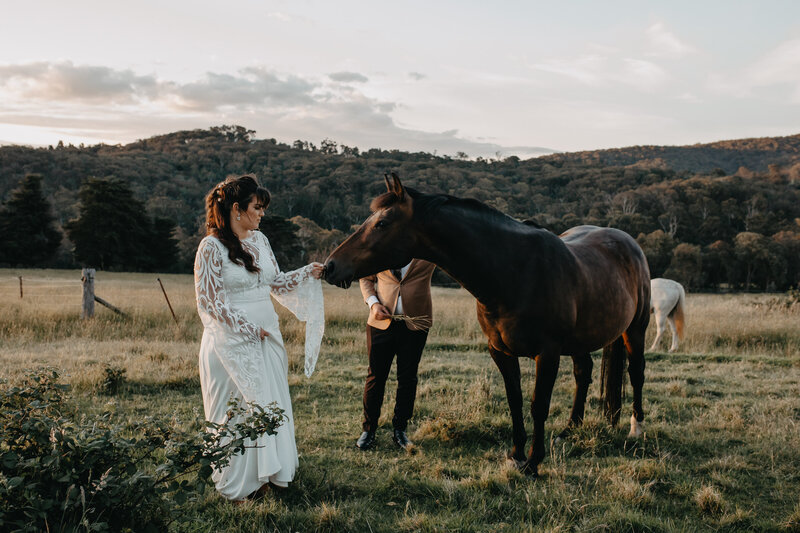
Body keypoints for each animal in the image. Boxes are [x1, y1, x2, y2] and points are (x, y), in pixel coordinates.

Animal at [324, 172, 648, 476]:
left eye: (382, 223)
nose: (330, 266)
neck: (515, 272)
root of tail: (626, 241)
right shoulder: (500, 351)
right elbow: (515, 400)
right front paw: (517, 455)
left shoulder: (548, 353)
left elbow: (538, 405)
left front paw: (533, 463)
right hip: (581, 341)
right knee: (584, 374)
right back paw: (570, 430)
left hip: (635, 331)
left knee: (636, 373)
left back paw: (636, 428)